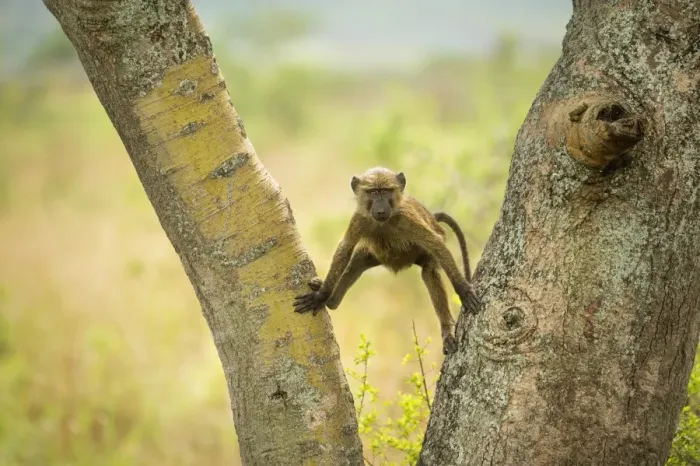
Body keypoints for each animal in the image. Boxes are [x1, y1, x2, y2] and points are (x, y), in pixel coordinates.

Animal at [293, 166, 480, 355]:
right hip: (378, 257)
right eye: (373, 192)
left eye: (386, 191)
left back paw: (447, 331)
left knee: (429, 272)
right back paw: (331, 300)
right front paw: (321, 296)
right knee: (357, 261)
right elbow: (345, 249)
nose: (381, 210)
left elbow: (435, 243)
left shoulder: (407, 219)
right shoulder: (359, 219)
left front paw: (463, 290)